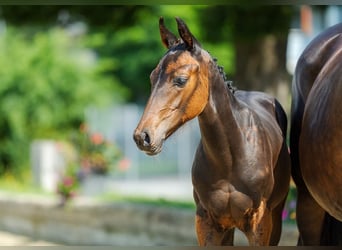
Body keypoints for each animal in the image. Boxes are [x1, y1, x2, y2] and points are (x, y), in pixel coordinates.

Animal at [133, 17, 288, 246]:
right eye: (152, 77)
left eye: (180, 79)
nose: (142, 136)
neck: (231, 157)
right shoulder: (207, 223)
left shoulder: (260, 224)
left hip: (275, 216)